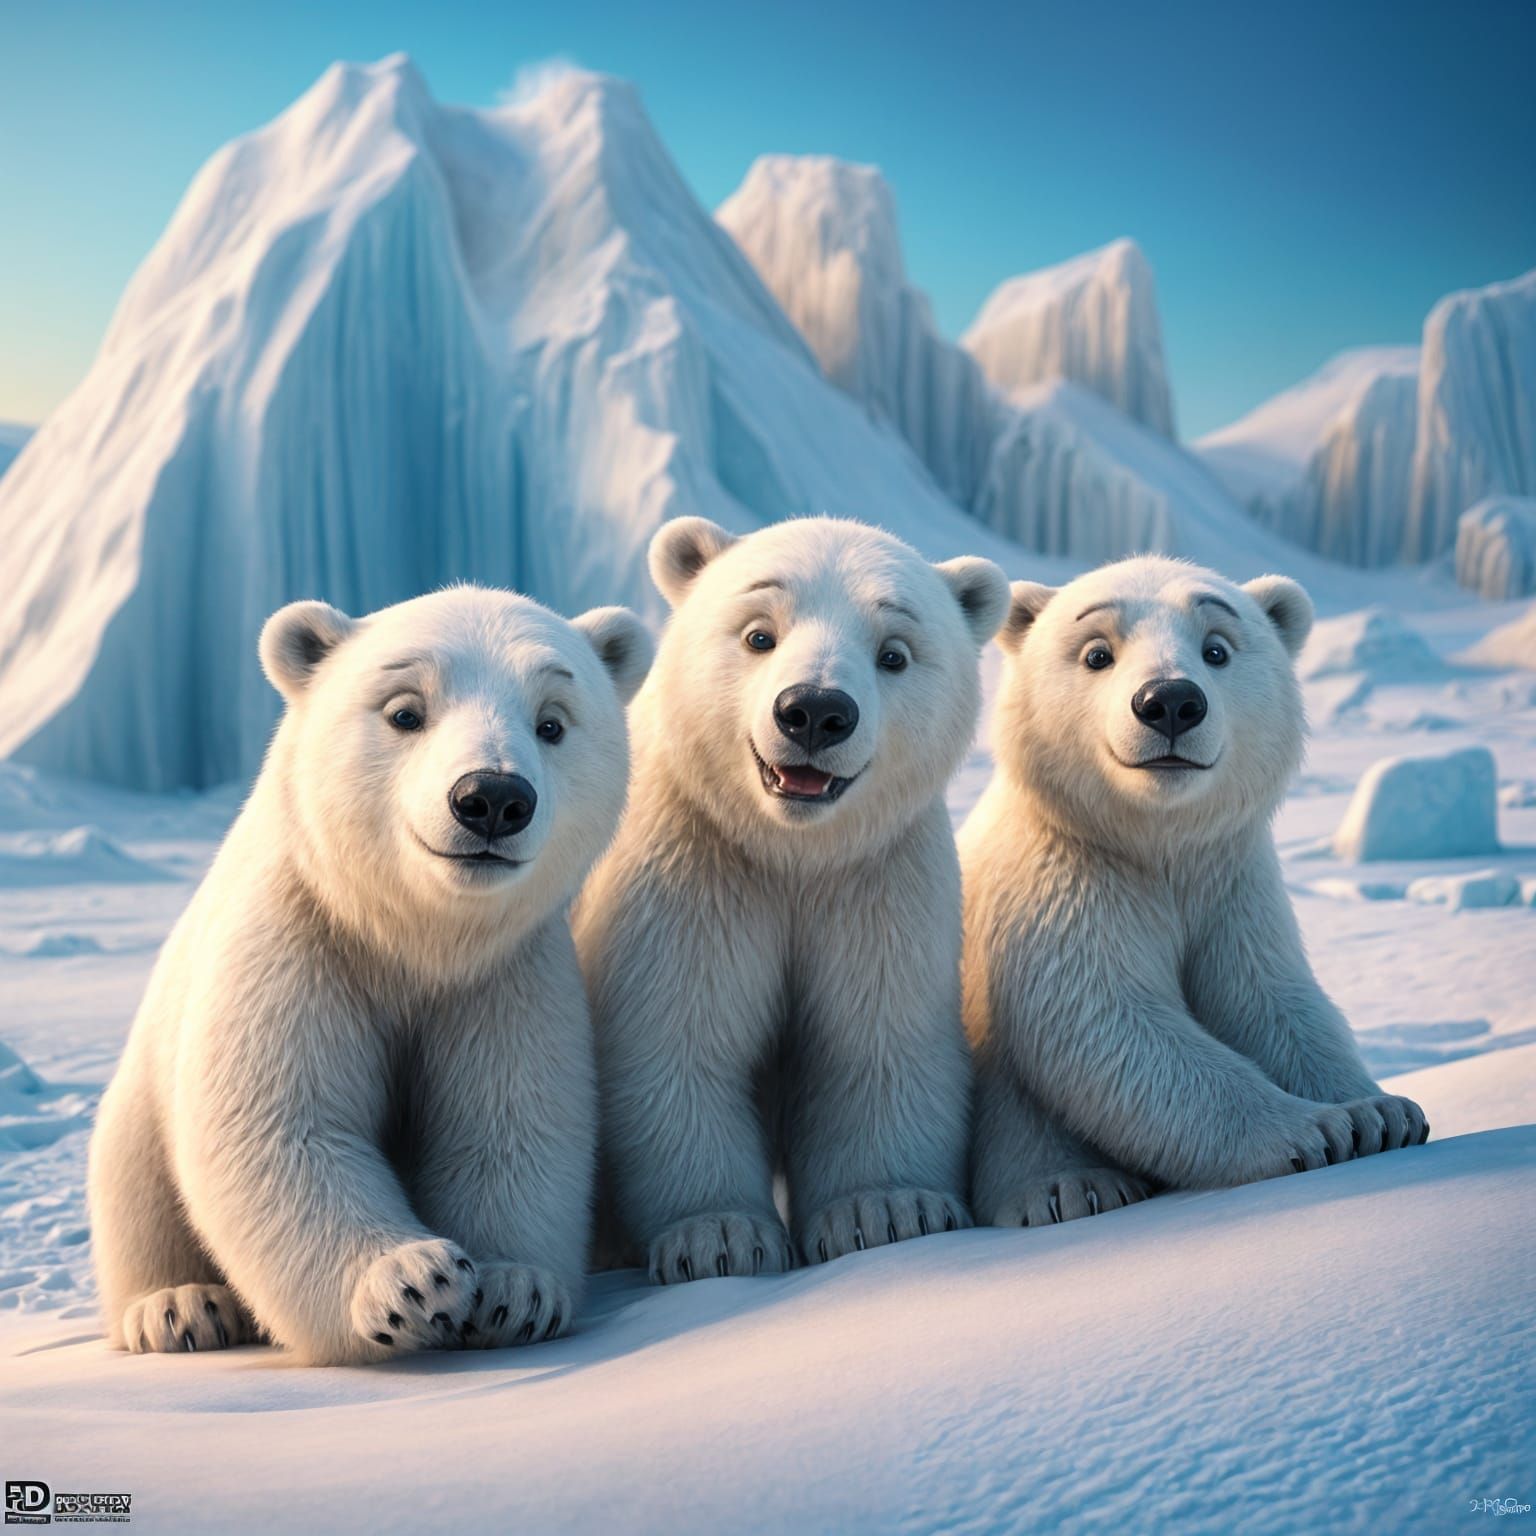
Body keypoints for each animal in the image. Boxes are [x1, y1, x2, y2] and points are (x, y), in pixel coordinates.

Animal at [87, 585, 651, 1363]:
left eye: (552, 723)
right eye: (405, 712)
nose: (491, 797)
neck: (413, 937)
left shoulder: (502, 979)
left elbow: (508, 1123)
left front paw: (514, 1290)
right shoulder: (300, 943)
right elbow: (283, 1124)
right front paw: (413, 1281)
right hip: (143, 1088)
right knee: (134, 1183)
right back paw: (178, 1306)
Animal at [573, 516, 1011, 1281]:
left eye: (893, 654)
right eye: (758, 635)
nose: (814, 711)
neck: (792, 851)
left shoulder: (875, 883)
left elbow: (872, 1042)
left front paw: (887, 1211)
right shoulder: (694, 869)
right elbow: (678, 1042)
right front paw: (717, 1236)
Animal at [959, 555, 1429, 1225]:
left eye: (1216, 649)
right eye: (1097, 654)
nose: (1170, 701)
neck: (1155, 845)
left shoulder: (1229, 883)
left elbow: (1271, 998)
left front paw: (1380, 1112)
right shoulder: (1059, 884)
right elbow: (1107, 1019)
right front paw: (1315, 1128)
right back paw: (1072, 1186)